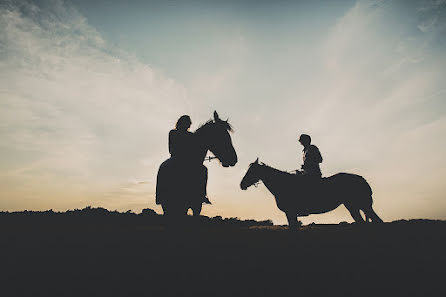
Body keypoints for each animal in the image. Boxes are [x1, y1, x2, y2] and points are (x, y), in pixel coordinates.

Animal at [240, 158, 384, 228]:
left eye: (252, 170)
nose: (242, 184)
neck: (283, 184)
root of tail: (361, 179)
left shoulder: (290, 213)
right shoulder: (290, 214)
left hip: (362, 206)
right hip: (354, 207)